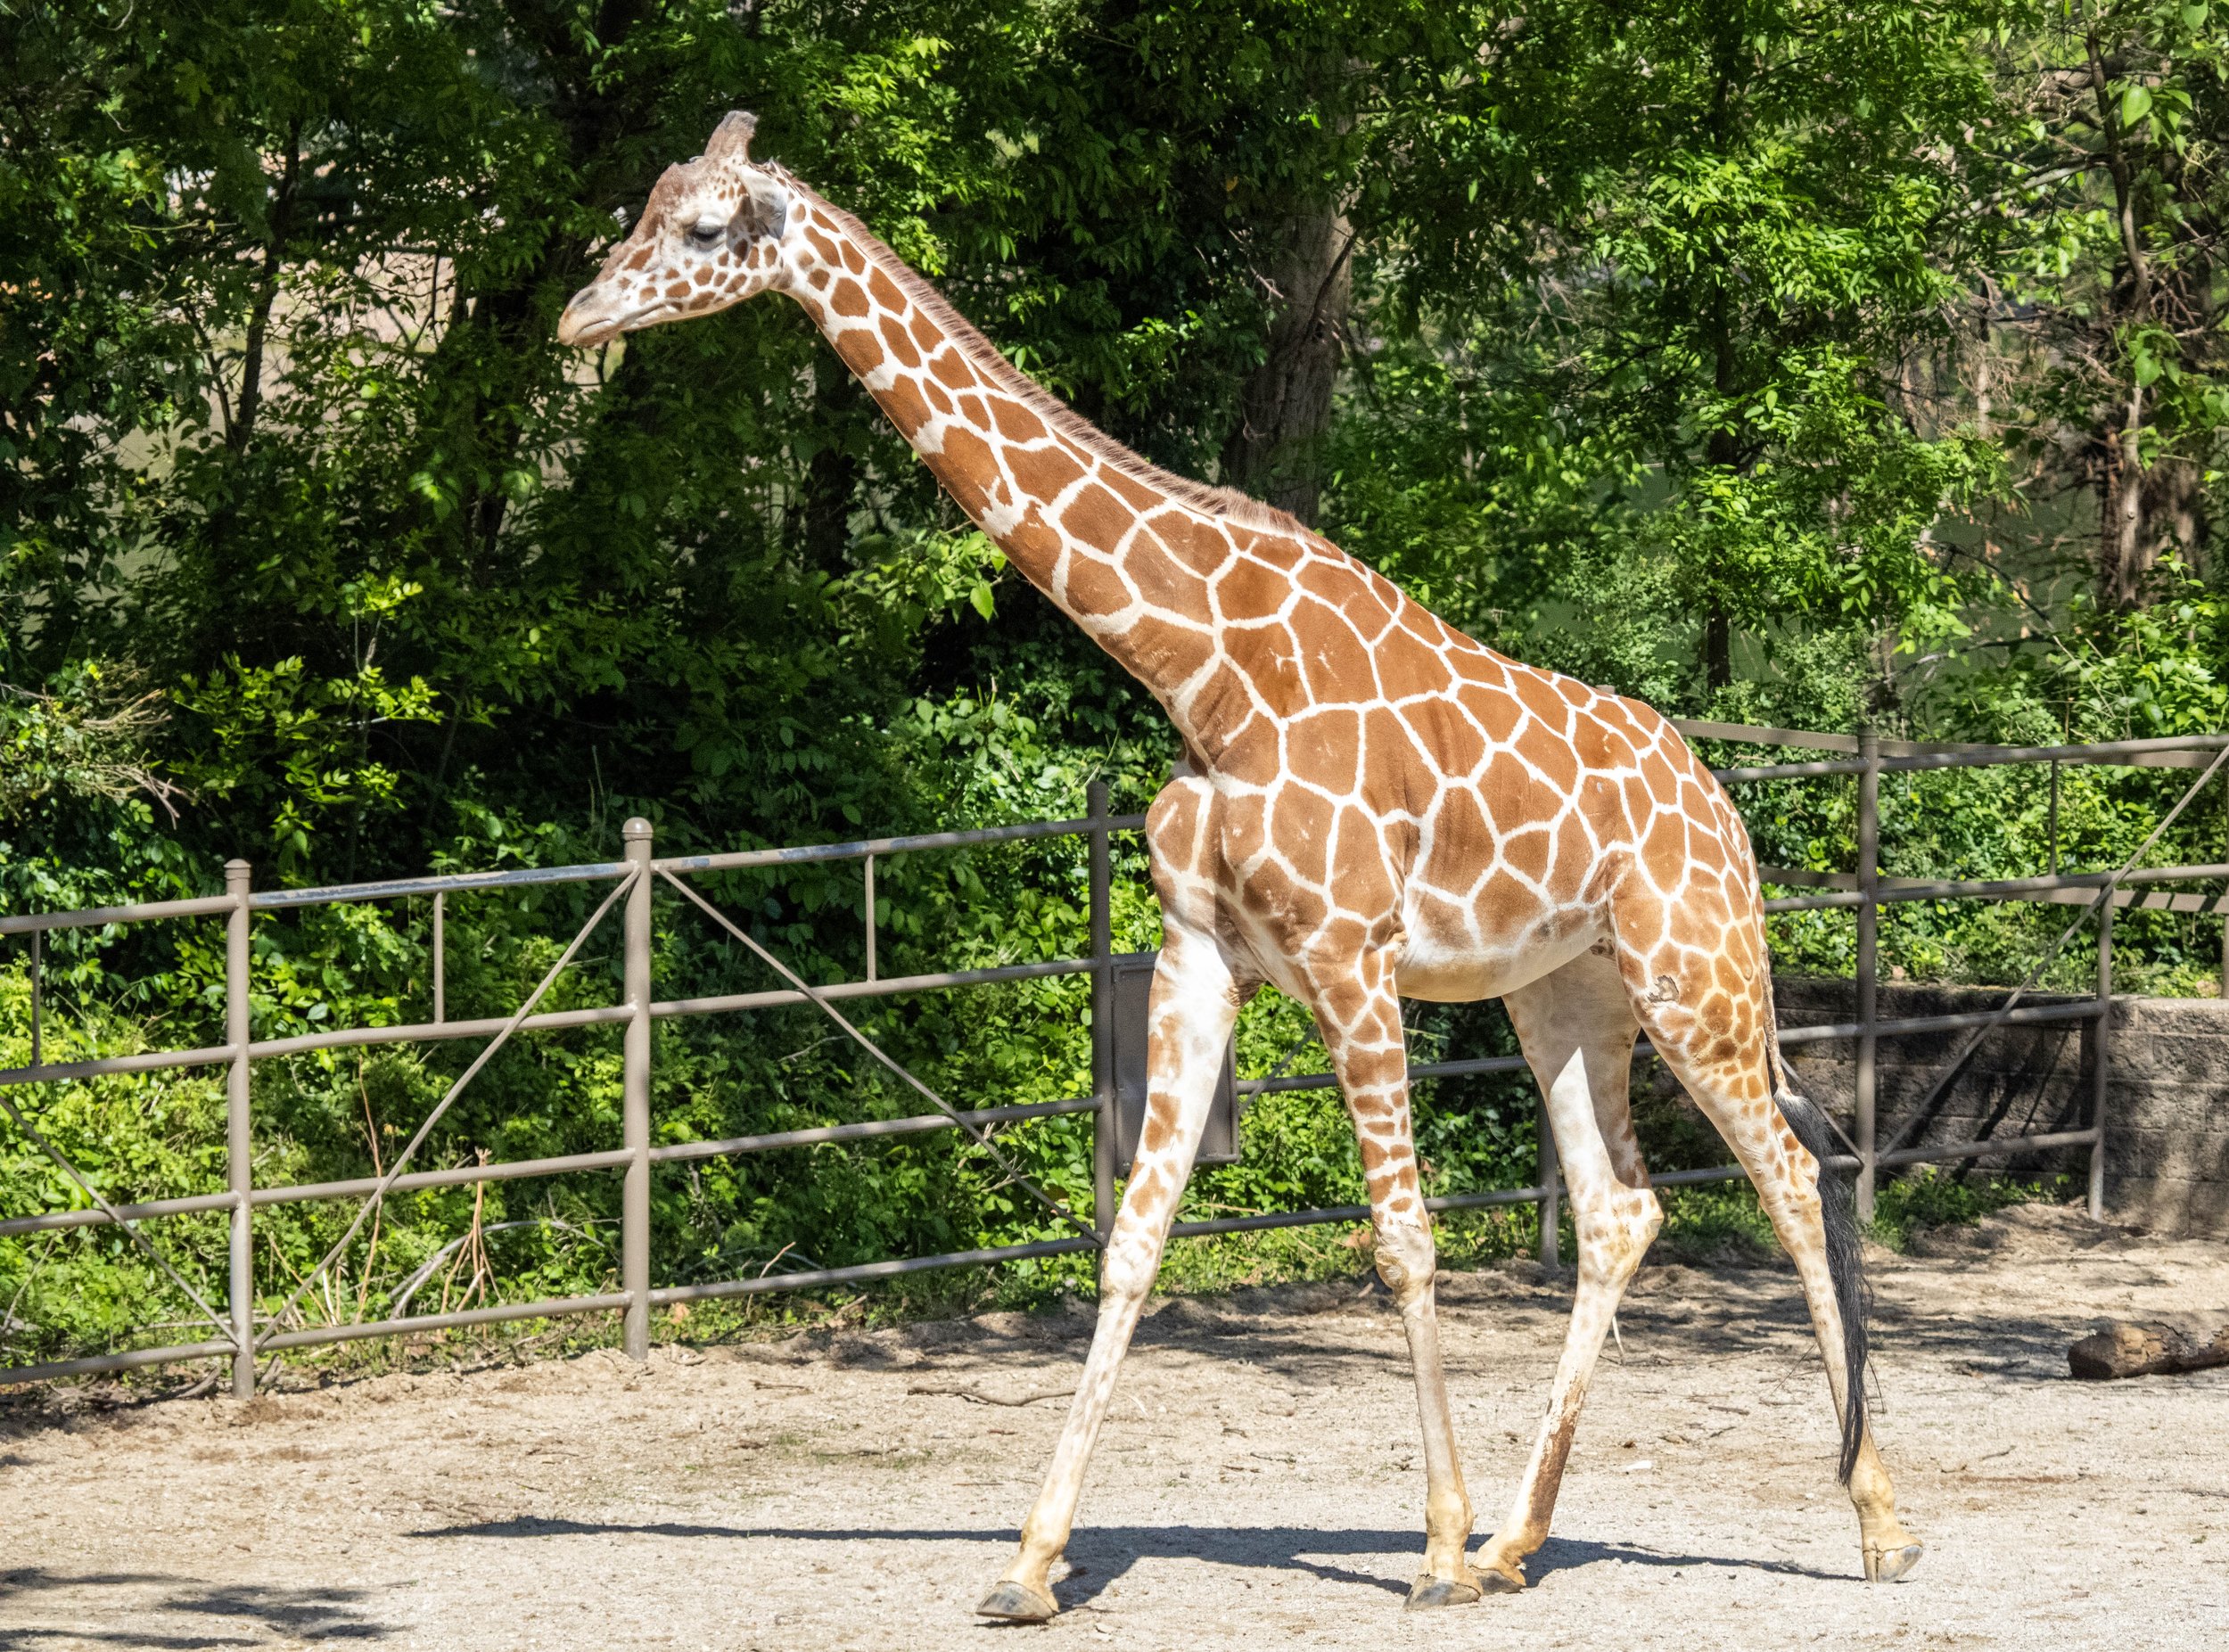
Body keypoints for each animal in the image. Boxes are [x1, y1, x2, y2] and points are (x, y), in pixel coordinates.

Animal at [558, 112, 1925, 1617]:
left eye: (701, 228)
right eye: (643, 205)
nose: (578, 316)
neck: (1195, 667)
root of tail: (1722, 804)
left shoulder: (1348, 954)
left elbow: (1401, 1238)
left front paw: (1430, 1550)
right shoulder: (1201, 955)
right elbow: (1135, 1237)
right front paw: (1030, 1564)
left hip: (1699, 973)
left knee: (1792, 1177)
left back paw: (1871, 1523)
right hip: (1566, 990)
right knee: (1621, 1208)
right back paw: (1521, 1541)